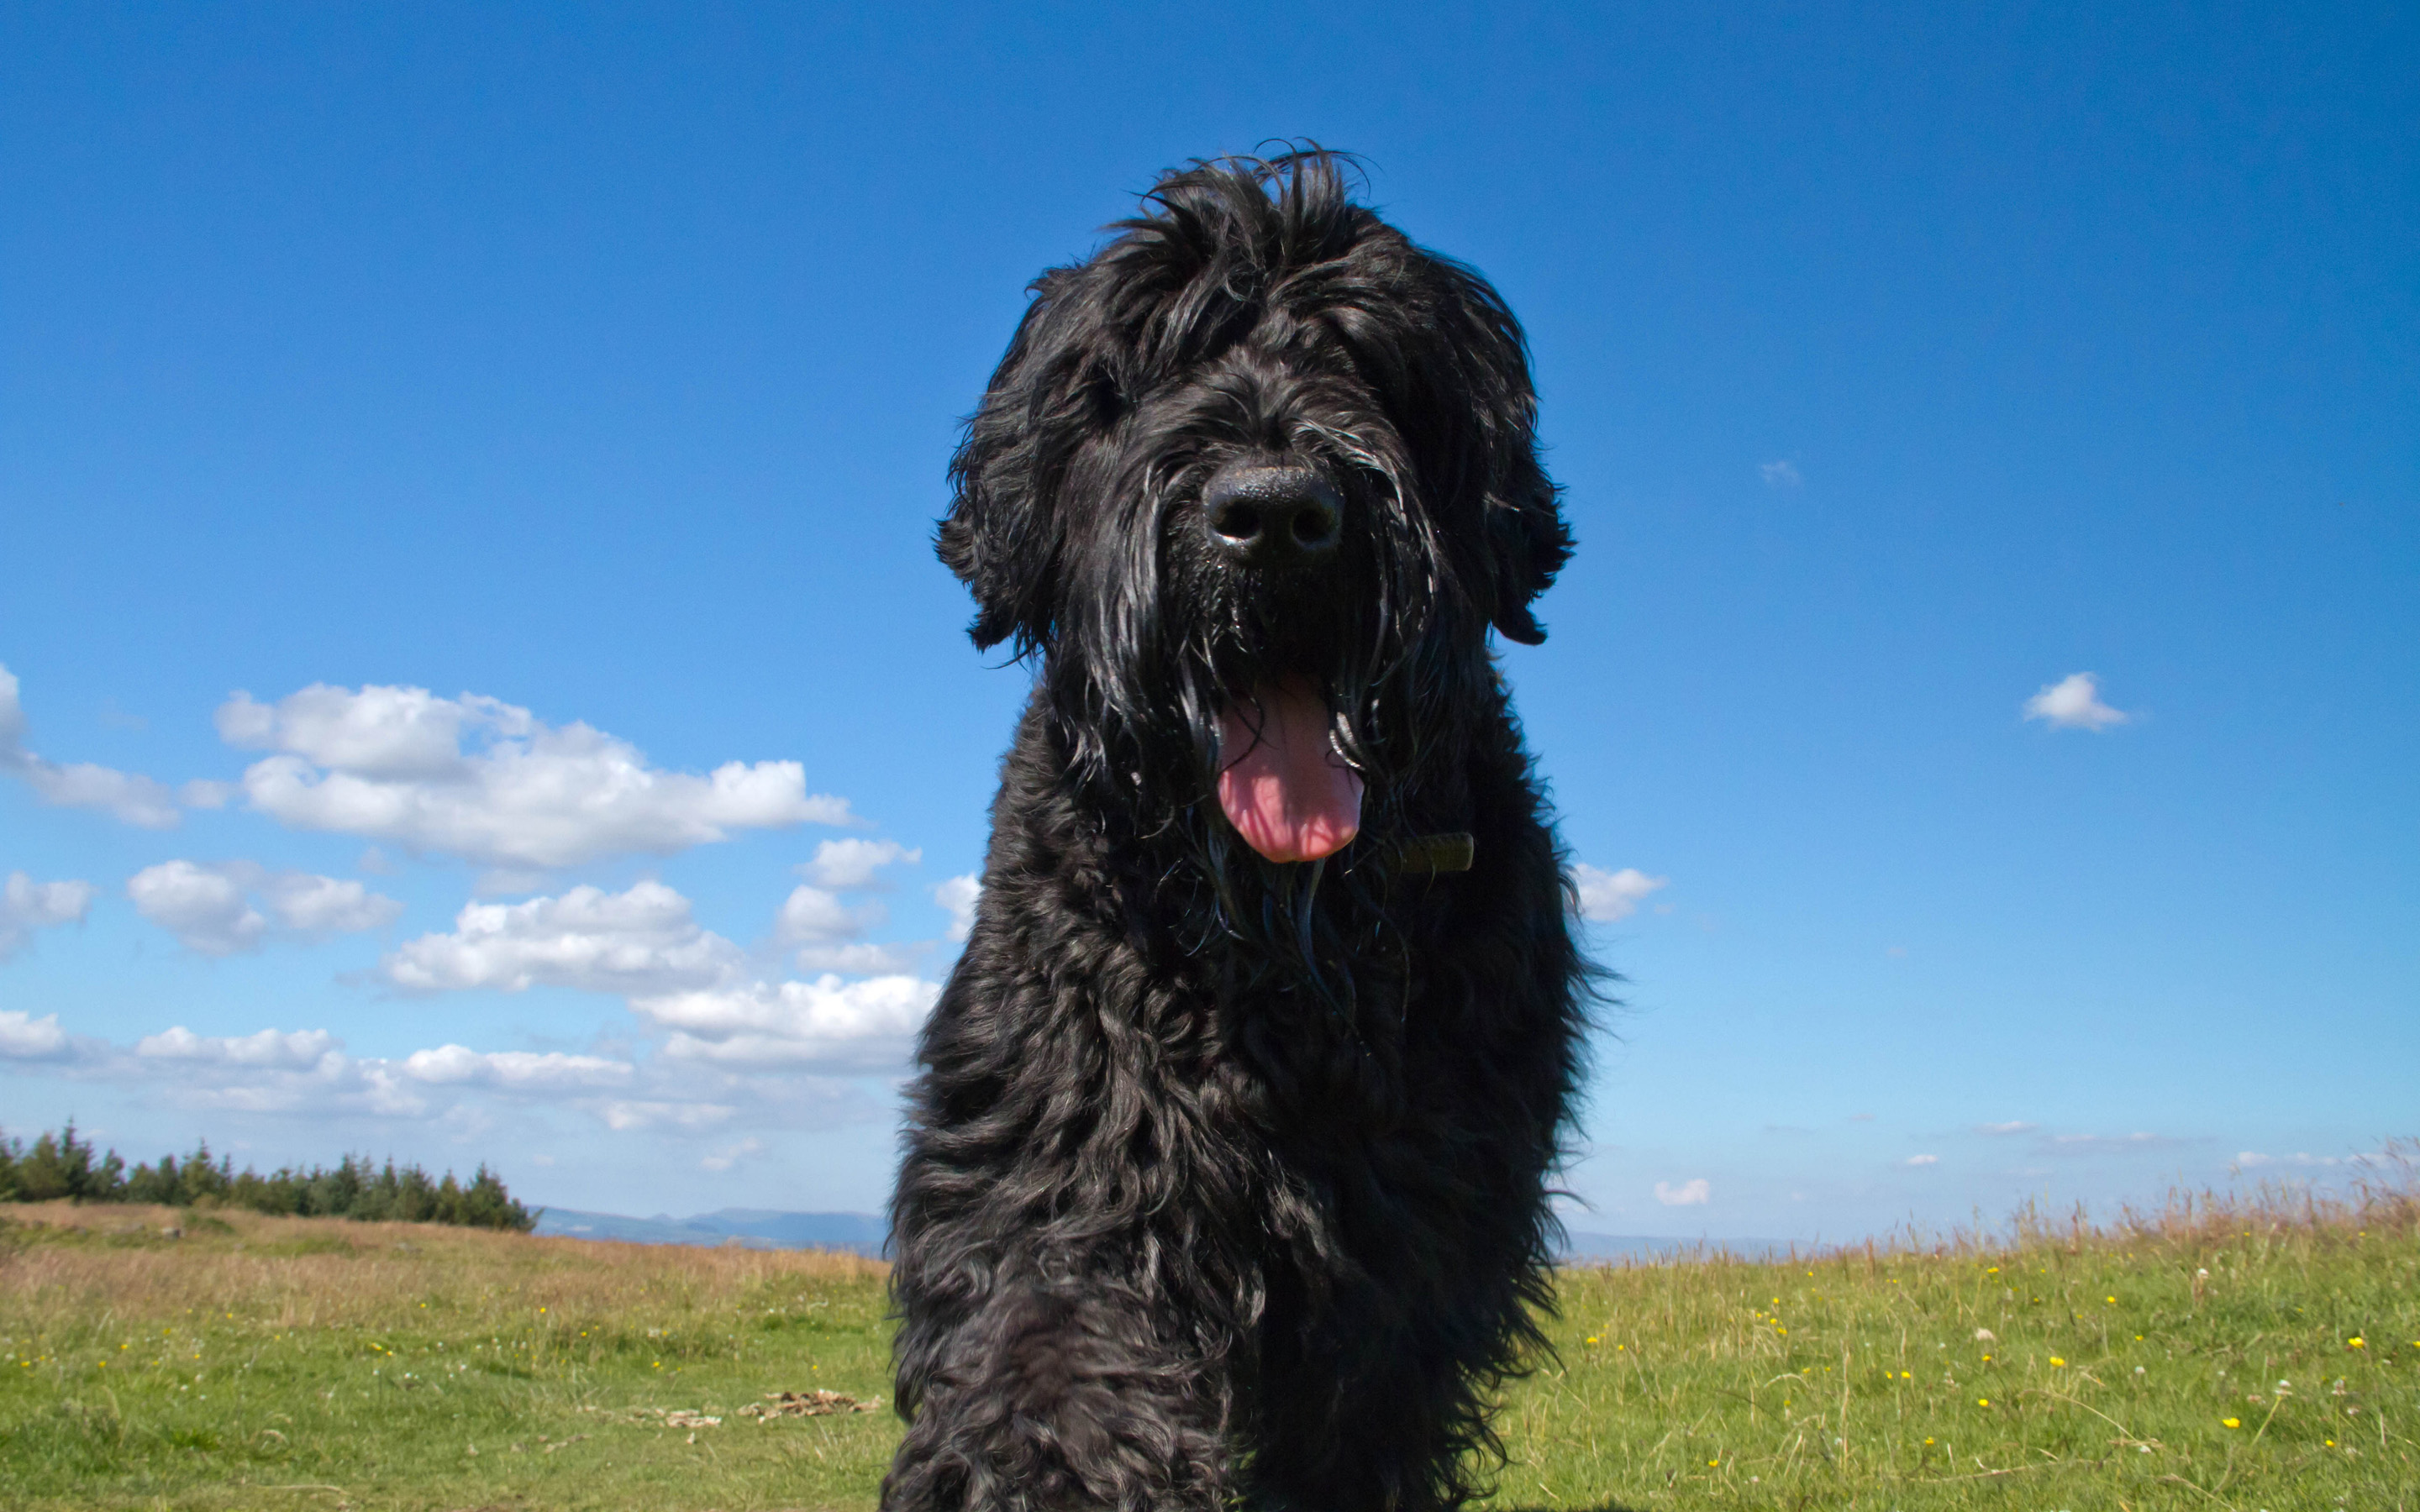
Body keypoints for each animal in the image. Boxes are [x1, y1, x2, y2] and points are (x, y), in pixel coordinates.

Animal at [890, 150, 1587, 1509]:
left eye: (1372, 363)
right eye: (1142, 369)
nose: (1274, 515)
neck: (1283, 969)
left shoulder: (1413, 1247)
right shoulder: (1064, 1143)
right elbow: (1048, 1353)